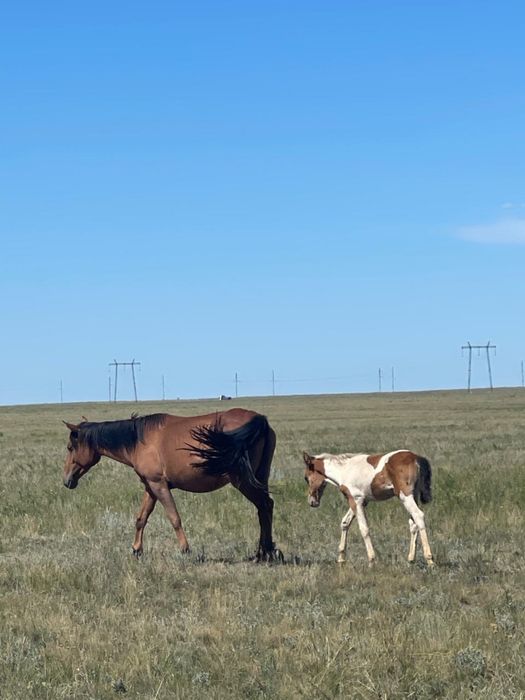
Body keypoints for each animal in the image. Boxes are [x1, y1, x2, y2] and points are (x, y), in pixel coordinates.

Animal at [62, 408, 281, 561]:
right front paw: (136, 550)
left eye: (70, 447)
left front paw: (185, 550)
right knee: (265, 508)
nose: (66, 481)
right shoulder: (150, 487)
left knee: (264, 506)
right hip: (258, 477)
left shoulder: (159, 485)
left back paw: (265, 553)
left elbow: (174, 518)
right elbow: (141, 519)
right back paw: (264, 553)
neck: (140, 441)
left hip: (242, 481)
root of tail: (259, 420)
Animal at [302, 449, 434, 567]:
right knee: (413, 524)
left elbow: (364, 529)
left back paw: (430, 560)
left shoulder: (356, 499)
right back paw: (411, 560)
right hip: (413, 495)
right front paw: (341, 559)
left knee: (419, 516)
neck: (343, 470)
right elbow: (345, 523)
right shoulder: (362, 501)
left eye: (306, 478)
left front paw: (371, 560)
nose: (312, 502)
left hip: (405, 495)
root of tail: (416, 458)